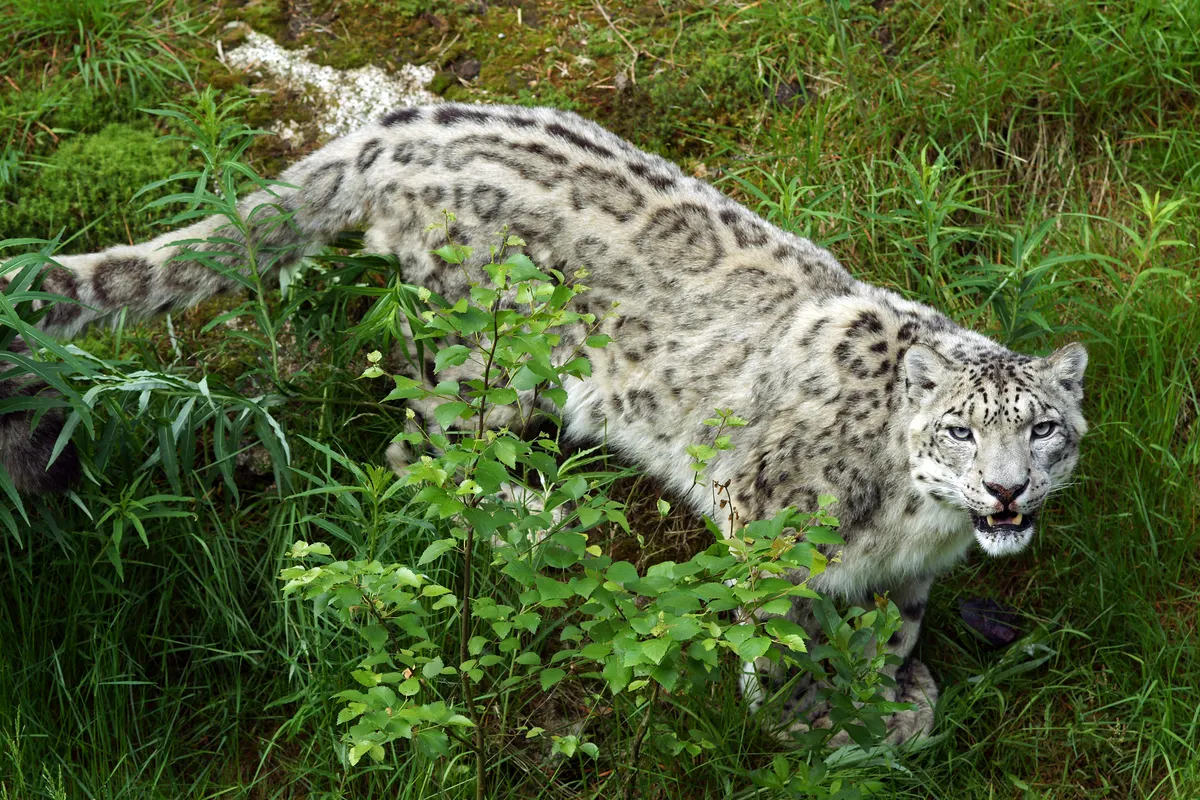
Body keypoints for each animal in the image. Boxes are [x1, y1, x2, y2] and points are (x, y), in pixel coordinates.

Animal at [0, 102, 1088, 745]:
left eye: (1042, 429)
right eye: (958, 430)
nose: (1005, 490)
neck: (920, 520)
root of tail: (397, 127)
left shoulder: (910, 572)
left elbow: (891, 629)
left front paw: (892, 699)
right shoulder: (770, 522)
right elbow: (785, 633)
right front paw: (808, 722)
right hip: (483, 356)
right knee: (421, 451)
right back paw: (543, 522)